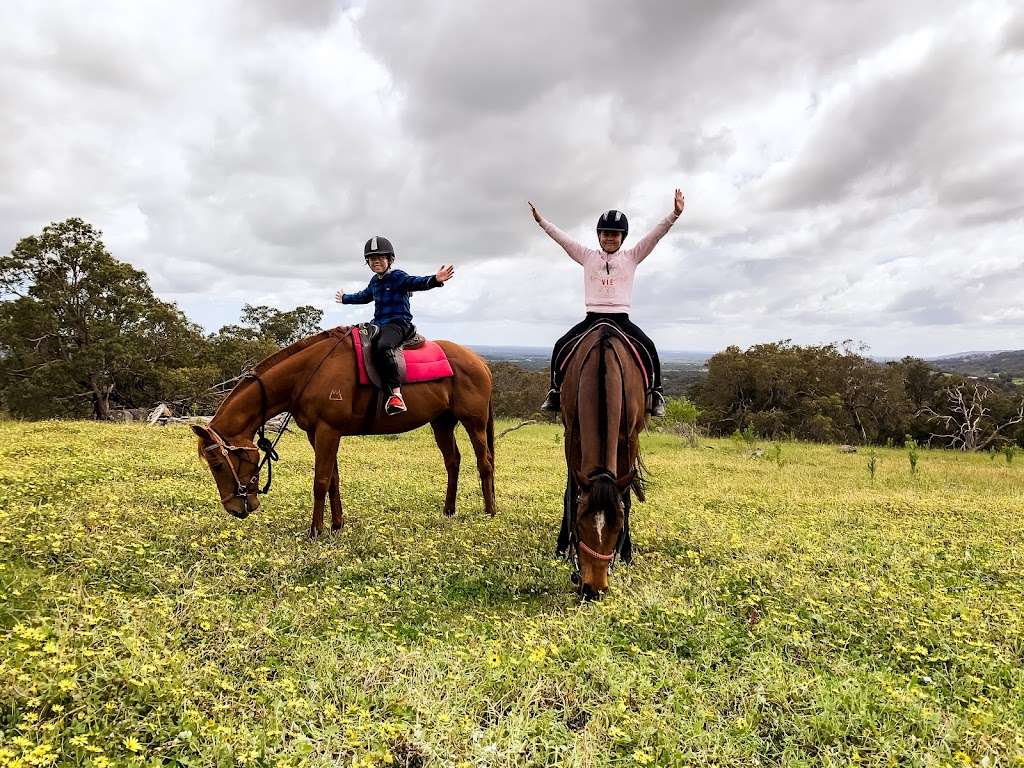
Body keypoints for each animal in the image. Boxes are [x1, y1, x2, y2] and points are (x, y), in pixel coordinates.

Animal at [193, 327, 497, 536]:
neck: (308, 373)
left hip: (474, 422)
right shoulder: (318, 434)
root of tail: (480, 362)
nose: (234, 509)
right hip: (441, 423)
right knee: (453, 462)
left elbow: (320, 482)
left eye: (218, 465)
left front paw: (315, 530)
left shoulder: (328, 430)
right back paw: (449, 511)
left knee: (485, 463)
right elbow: (333, 480)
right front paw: (337, 525)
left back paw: (490, 511)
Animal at [557, 321, 643, 598]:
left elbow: (626, 497)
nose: (594, 589)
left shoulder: (630, 439)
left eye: (618, 528)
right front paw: (562, 546)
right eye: (580, 526)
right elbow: (571, 490)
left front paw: (626, 551)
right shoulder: (572, 437)